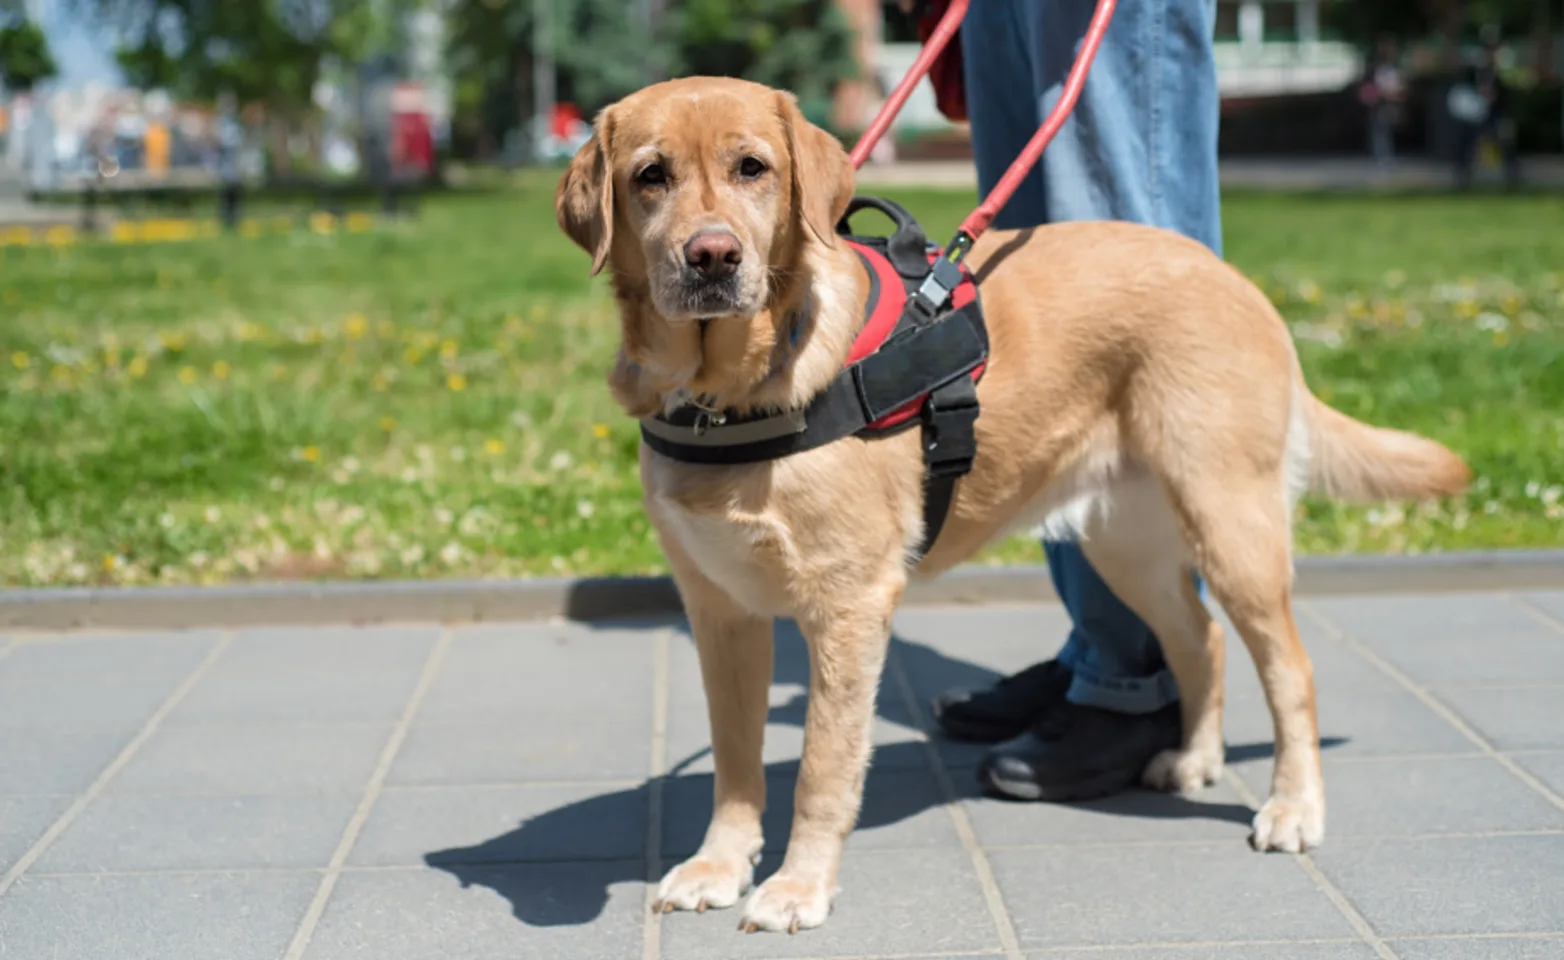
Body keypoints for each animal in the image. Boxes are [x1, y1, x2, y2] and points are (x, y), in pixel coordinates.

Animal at [556, 78, 1470, 938]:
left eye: (753, 168)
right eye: (651, 176)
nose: (712, 256)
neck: (725, 394)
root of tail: (1232, 275)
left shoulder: (848, 606)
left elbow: (821, 765)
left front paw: (797, 887)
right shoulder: (720, 610)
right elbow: (735, 761)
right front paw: (718, 866)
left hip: (1230, 522)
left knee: (1290, 669)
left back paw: (1294, 807)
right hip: (1126, 545)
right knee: (1197, 636)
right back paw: (1194, 758)